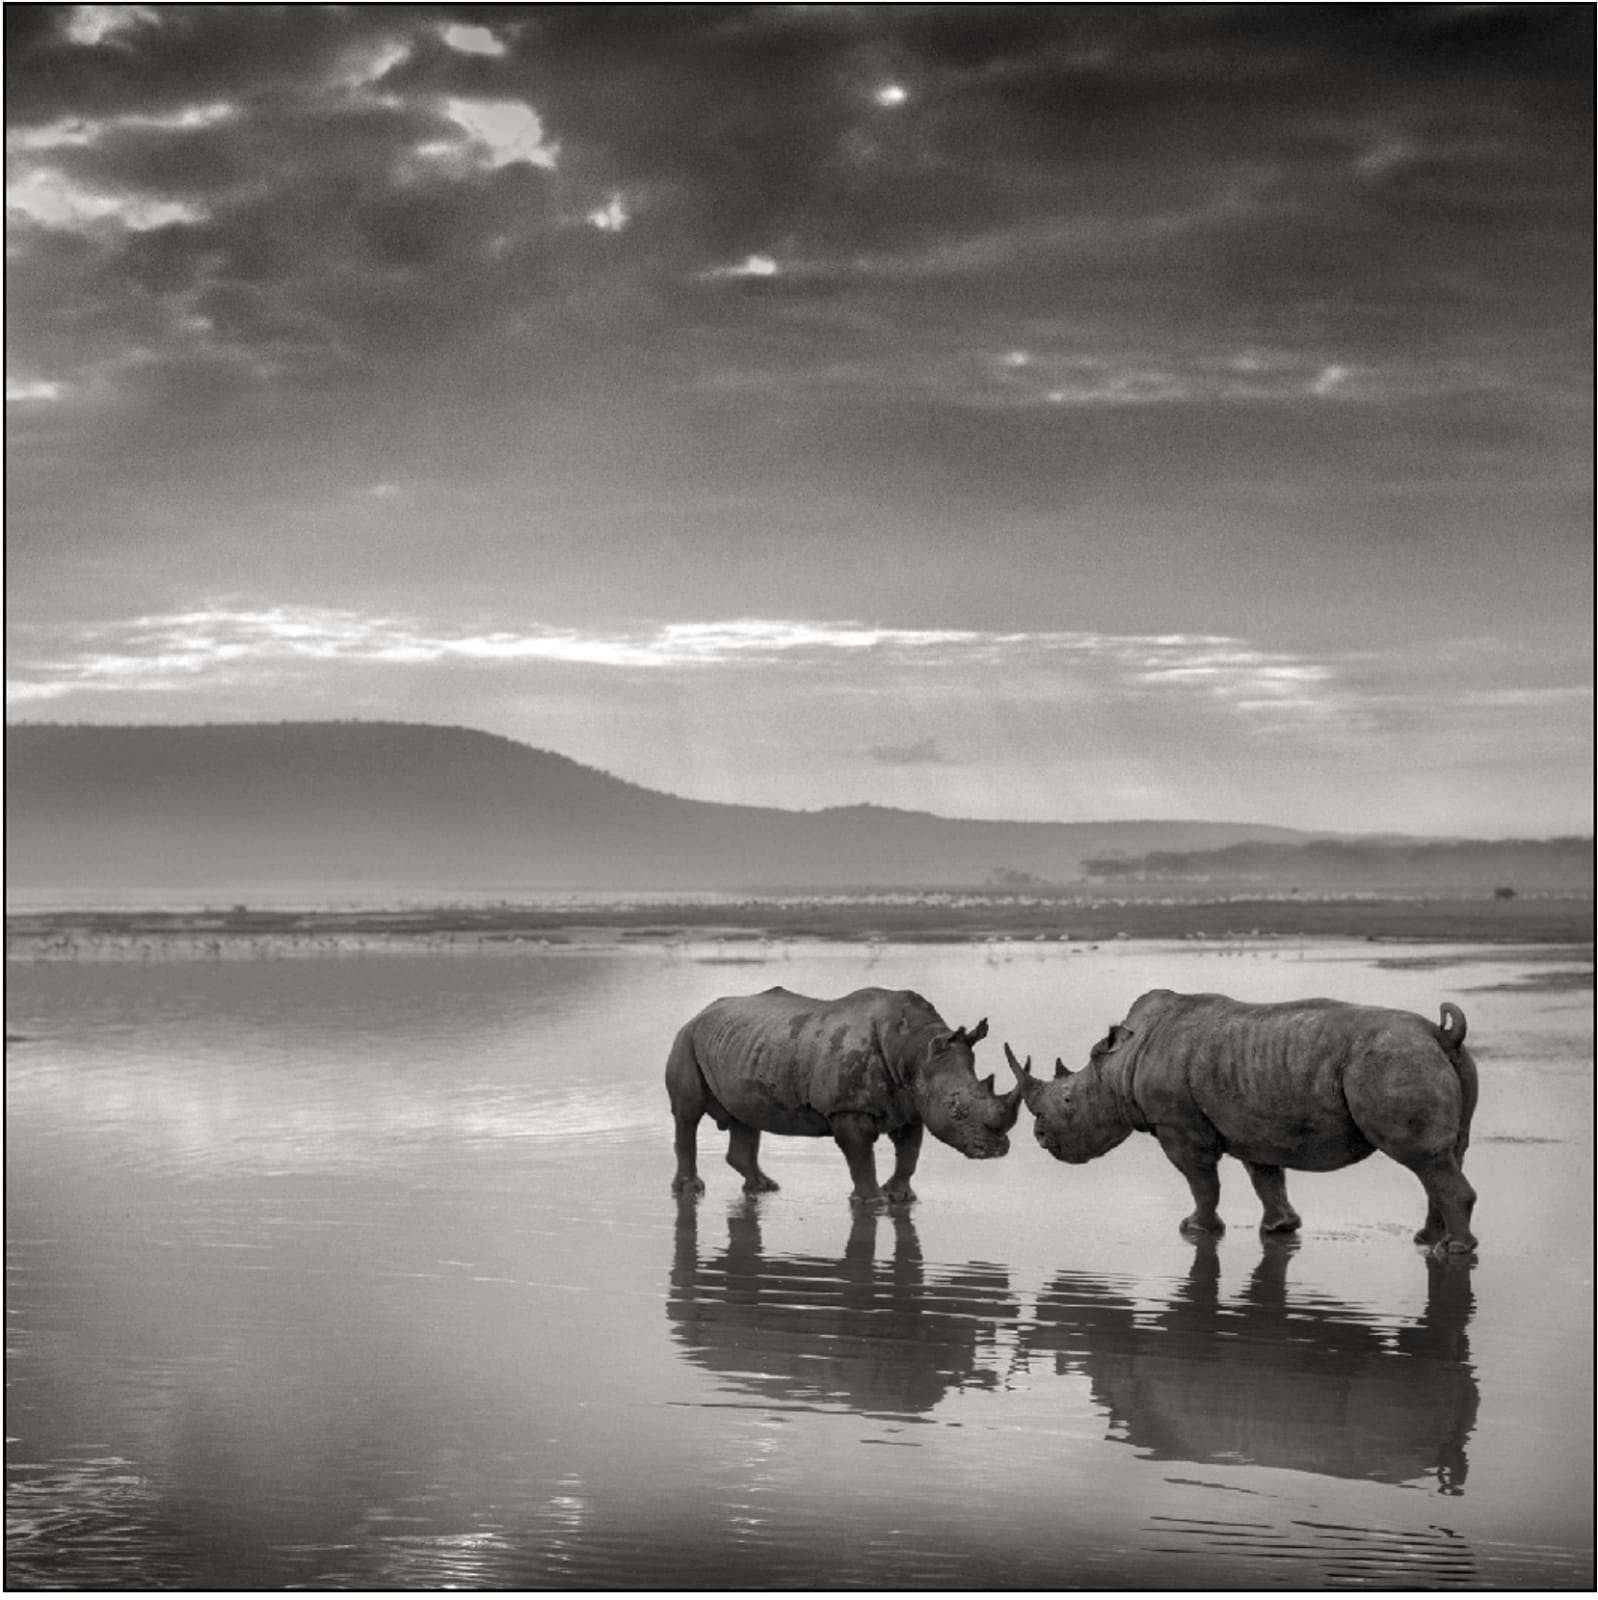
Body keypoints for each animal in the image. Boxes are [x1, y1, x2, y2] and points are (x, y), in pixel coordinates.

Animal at [666, 985, 1022, 1203]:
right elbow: (861, 1157)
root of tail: (700, 1013)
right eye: (955, 1107)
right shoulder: (847, 1108)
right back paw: (691, 1190)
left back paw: (764, 1188)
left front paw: (901, 1198)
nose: (997, 1150)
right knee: (687, 1115)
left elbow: (909, 1153)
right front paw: (873, 1202)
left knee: (745, 1116)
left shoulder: (911, 1106)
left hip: (742, 1044)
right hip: (686, 1038)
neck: (916, 1049)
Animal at [1005, 989, 1479, 1253]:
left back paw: (1452, 1250)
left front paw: (1195, 1229)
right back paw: (1427, 1241)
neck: (1120, 1065)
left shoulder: (1179, 1128)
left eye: (1069, 1100)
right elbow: (1265, 1177)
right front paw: (1279, 1228)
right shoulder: (1255, 1125)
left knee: (1423, 1158)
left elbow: (1202, 1183)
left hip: (1393, 1060)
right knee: (1443, 1157)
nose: (1040, 1136)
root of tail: (1440, 1034)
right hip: (1430, 1059)